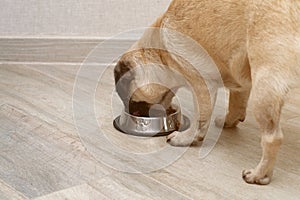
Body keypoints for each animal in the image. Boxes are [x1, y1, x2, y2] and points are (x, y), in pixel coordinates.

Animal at [113, 0, 298, 184]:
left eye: (133, 103)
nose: (131, 112)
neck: (161, 50)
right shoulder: (239, 82)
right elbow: (236, 103)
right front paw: (228, 120)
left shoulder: (201, 85)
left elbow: (200, 121)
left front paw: (186, 138)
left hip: (264, 89)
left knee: (272, 138)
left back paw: (259, 174)